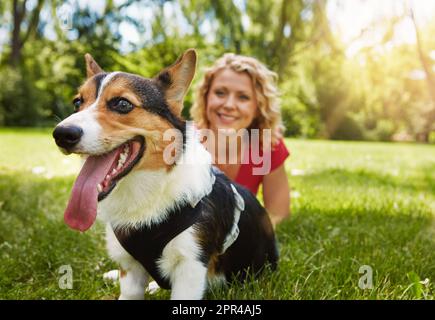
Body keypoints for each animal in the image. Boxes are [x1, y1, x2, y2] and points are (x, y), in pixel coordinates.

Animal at [53, 48, 280, 298]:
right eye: (77, 102)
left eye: (122, 104)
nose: (61, 134)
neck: (147, 190)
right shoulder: (130, 270)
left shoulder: (190, 266)